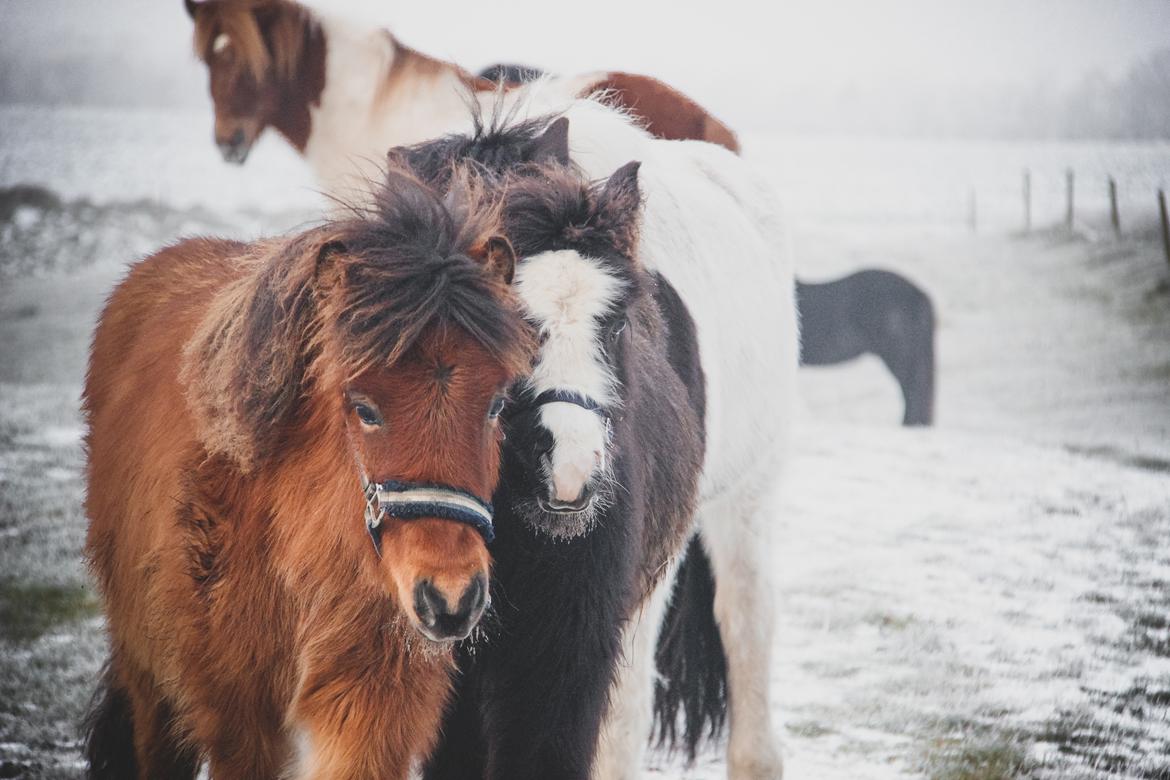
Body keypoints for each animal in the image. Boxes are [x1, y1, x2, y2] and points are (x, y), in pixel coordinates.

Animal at [83, 168, 535, 776]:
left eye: (495, 404)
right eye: (364, 408)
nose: (450, 598)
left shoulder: (370, 709)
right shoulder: (240, 719)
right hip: (150, 680)